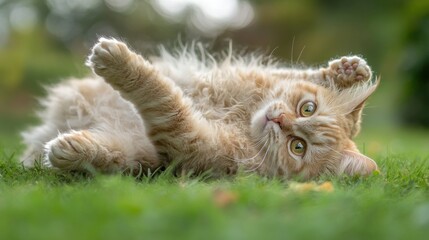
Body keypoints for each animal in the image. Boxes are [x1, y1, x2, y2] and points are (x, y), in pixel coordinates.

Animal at [20, 37, 376, 179]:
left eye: (298, 147)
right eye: (307, 109)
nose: (279, 119)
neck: (241, 118)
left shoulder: (185, 142)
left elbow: (161, 93)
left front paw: (118, 62)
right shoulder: (252, 77)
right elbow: (294, 75)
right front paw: (346, 73)